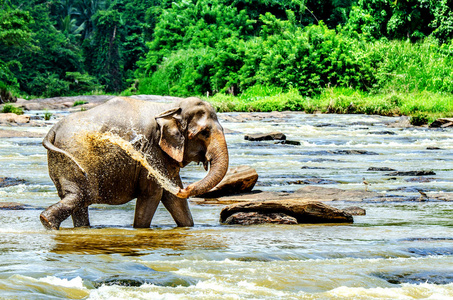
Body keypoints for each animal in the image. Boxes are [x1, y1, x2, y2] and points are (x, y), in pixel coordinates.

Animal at [40, 97, 228, 229]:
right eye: (204, 133)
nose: (187, 188)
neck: (168, 107)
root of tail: (52, 130)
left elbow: (172, 198)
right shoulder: (151, 151)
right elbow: (152, 194)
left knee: (78, 201)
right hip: (74, 157)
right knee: (79, 196)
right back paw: (47, 222)